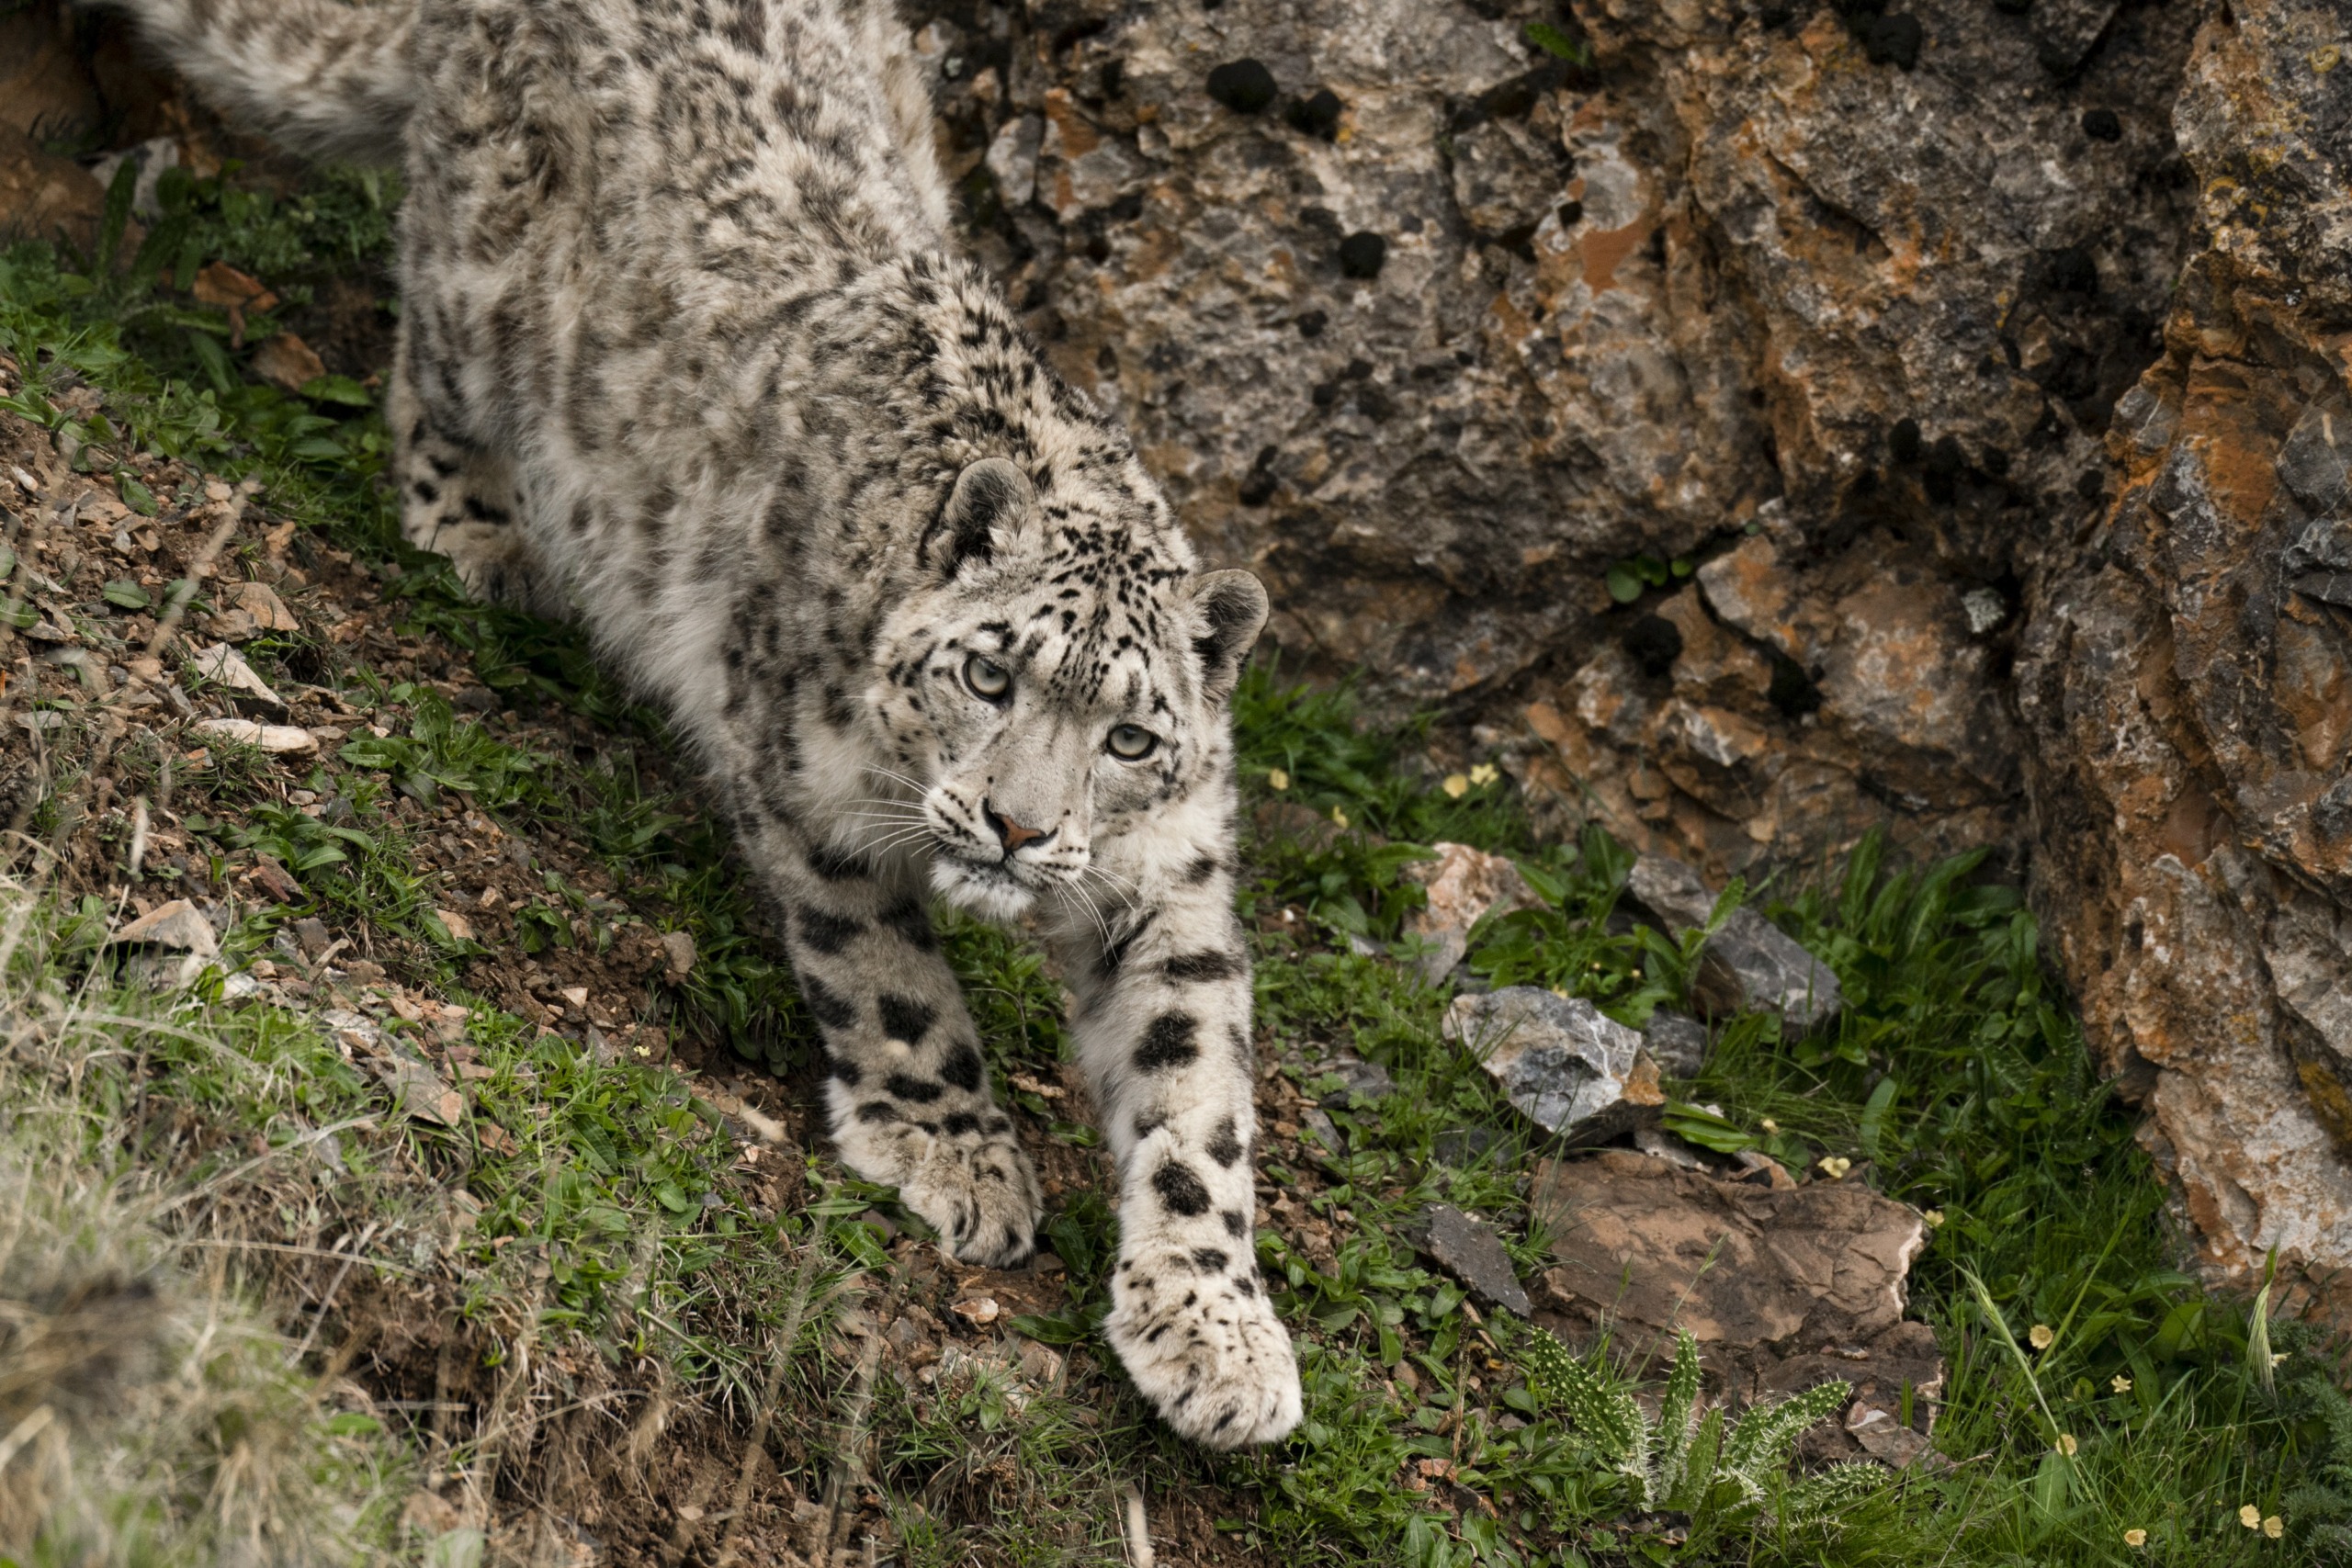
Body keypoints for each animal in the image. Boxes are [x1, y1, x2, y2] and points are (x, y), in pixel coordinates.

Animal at [110, 0, 1307, 1448]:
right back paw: (481, 536)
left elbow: (1198, 1090)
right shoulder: (808, 780)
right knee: (427, 373)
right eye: (989, 676)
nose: (1019, 829)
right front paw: (957, 1154)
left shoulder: (1171, 884)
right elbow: (888, 979)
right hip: (480, 286)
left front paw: (1219, 1332)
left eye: (1131, 739)